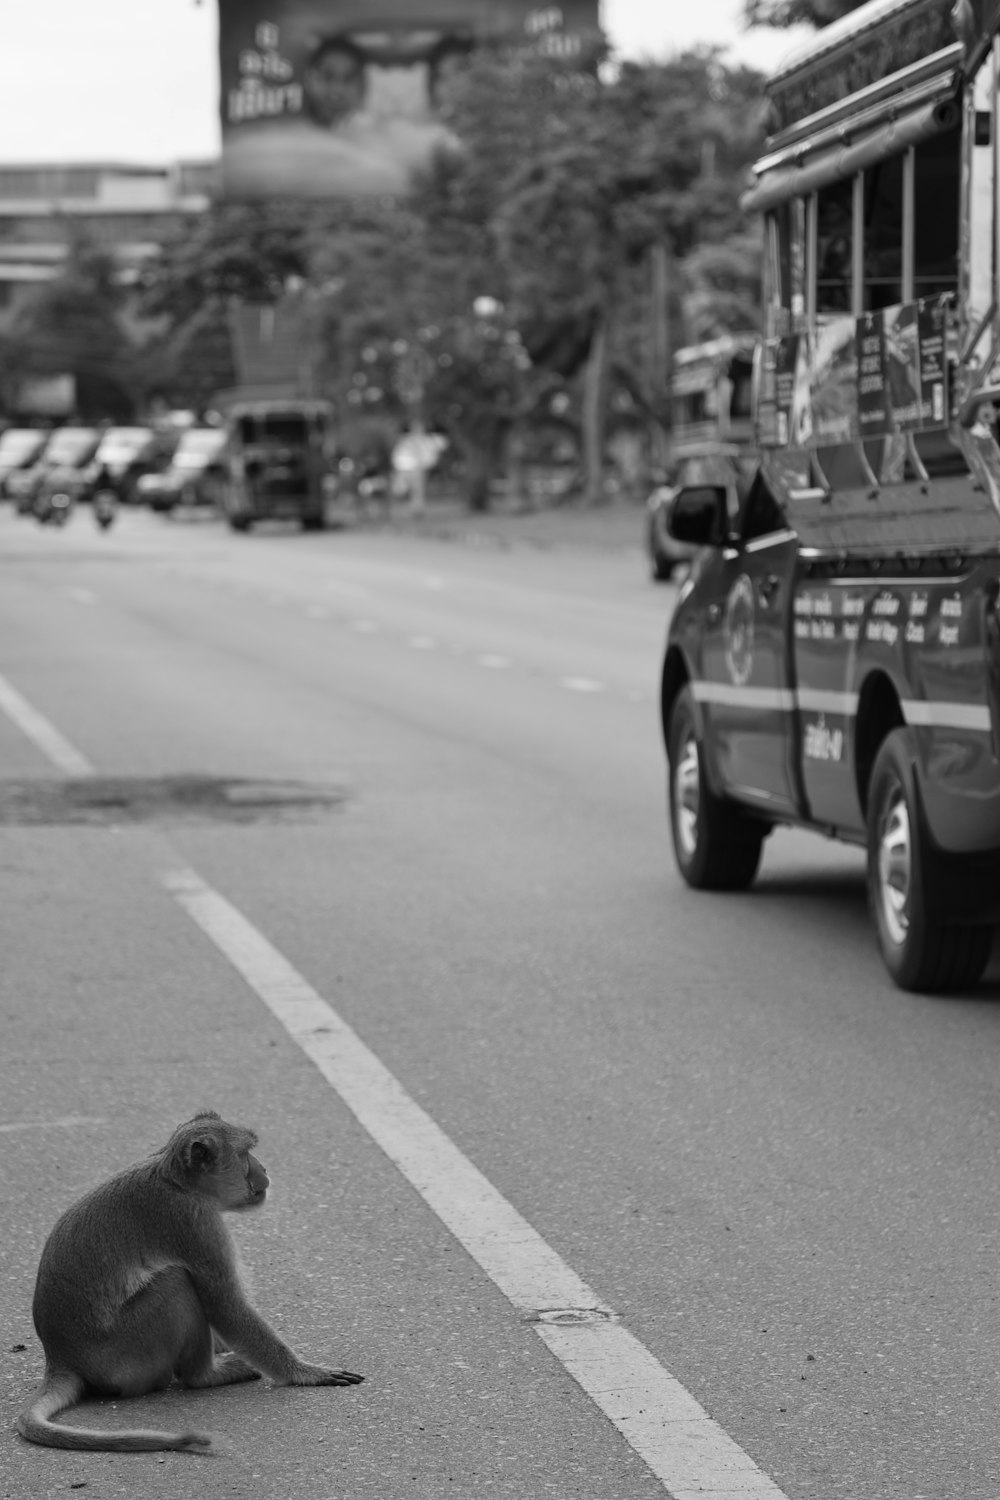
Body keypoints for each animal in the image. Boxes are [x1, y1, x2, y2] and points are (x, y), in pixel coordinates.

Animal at [16, 1110, 364, 1446]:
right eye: (245, 1154)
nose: (263, 1168)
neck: (179, 1183)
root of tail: (61, 1357)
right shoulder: (195, 1223)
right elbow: (226, 1306)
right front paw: (303, 1372)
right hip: (124, 1357)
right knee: (177, 1282)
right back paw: (205, 1375)